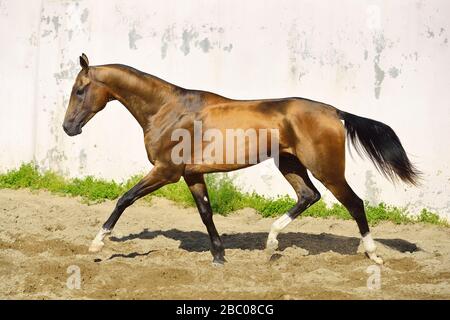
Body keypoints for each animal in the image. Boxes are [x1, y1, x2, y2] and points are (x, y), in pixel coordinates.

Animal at [62, 54, 418, 264]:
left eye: (80, 89)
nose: (68, 127)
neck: (166, 110)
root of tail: (335, 112)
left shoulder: (166, 171)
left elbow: (125, 198)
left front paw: (97, 244)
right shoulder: (191, 174)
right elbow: (206, 212)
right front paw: (219, 257)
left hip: (326, 168)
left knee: (354, 203)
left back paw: (372, 255)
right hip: (290, 163)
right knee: (308, 196)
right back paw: (271, 244)